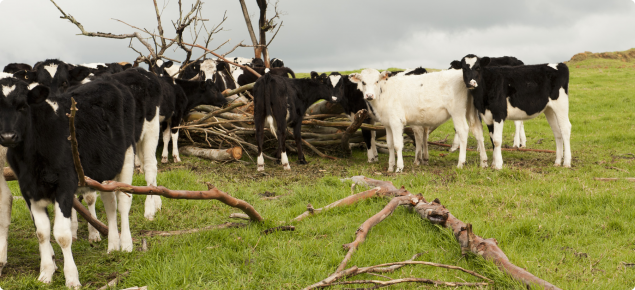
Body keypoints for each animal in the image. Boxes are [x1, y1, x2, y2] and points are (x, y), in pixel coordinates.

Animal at [0, 75, 137, 288]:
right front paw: (46, 273)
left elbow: (62, 235)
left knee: (123, 203)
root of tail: (109, 81)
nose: (7, 137)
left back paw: (126, 245)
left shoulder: (64, 186)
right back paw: (113, 245)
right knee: (110, 205)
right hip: (104, 169)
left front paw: (72, 278)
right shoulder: (28, 189)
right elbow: (42, 232)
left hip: (128, 155)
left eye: (23, 106)